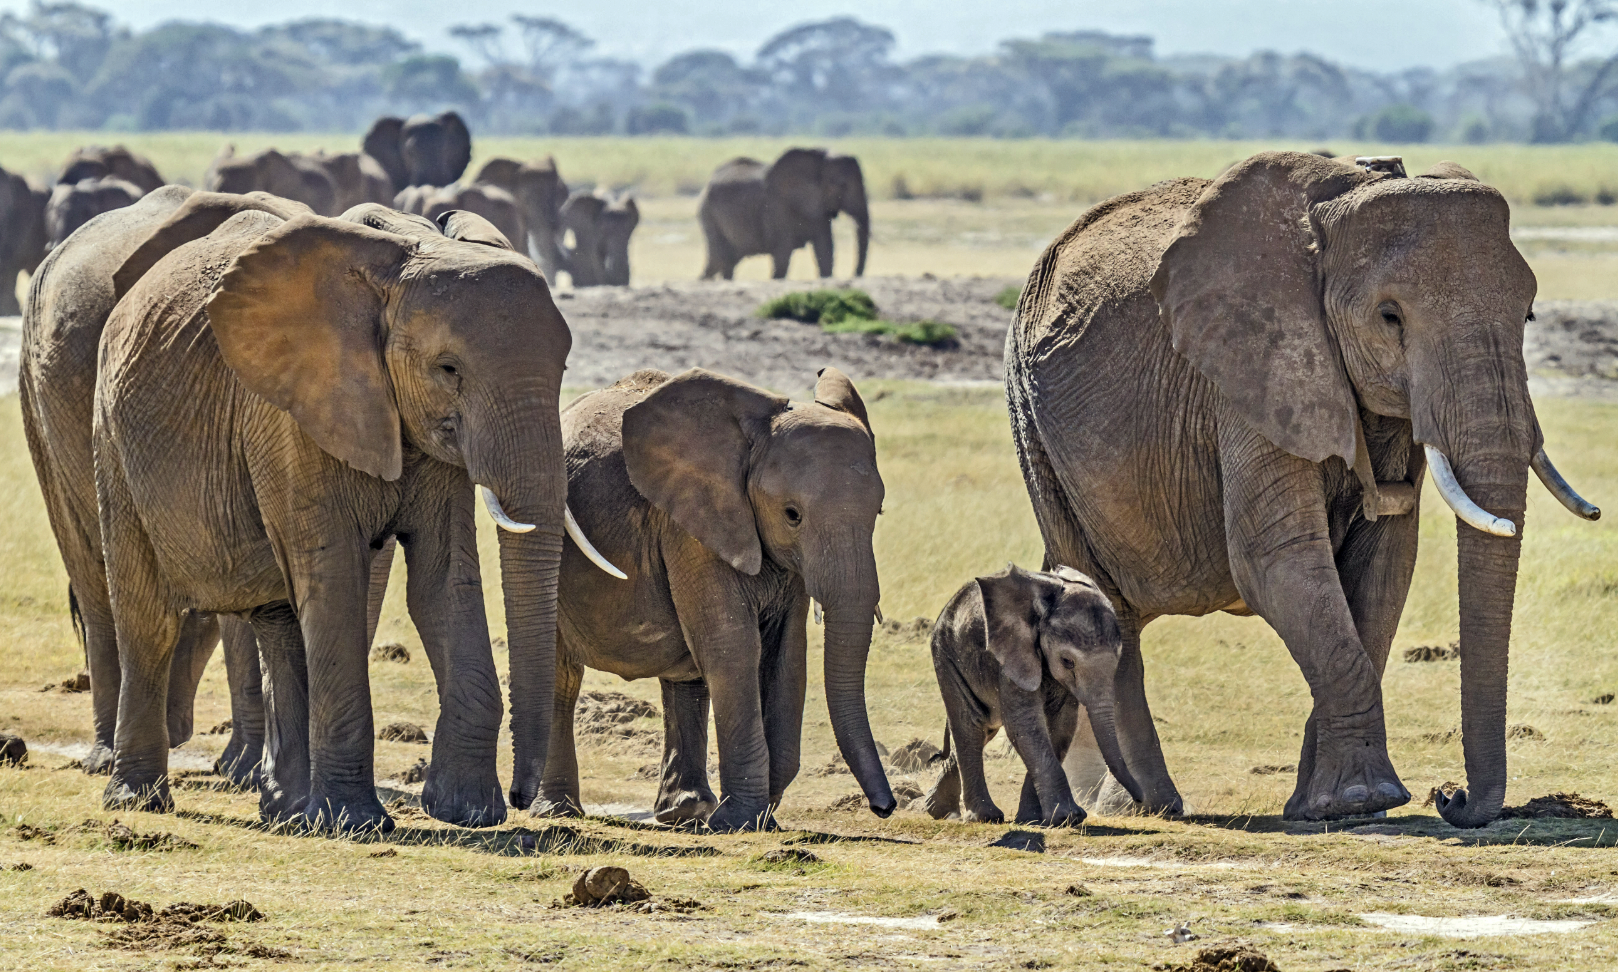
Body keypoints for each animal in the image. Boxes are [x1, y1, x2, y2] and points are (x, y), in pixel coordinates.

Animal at [87, 198, 617, 832]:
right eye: (448, 369)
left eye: (563, 369)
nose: (521, 797)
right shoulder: (291, 416)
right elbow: (336, 575)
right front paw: (356, 823)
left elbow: (444, 583)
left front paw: (467, 812)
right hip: (112, 439)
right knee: (148, 616)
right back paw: (138, 799)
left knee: (281, 620)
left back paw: (286, 811)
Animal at [541, 367, 895, 831]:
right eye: (792, 515)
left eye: (879, 512)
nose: (884, 808)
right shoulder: (691, 525)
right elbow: (732, 647)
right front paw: (739, 820)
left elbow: (786, 654)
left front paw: (757, 815)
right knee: (563, 673)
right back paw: (559, 809)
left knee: (685, 673)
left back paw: (685, 812)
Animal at [698, 148, 869, 280]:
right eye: (842, 185)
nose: (855, 275)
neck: (818, 160)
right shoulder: (777, 207)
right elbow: (783, 255)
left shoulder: (818, 208)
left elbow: (825, 251)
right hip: (709, 214)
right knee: (719, 260)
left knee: (726, 262)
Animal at [921, 565, 1144, 826]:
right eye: (1067, 662)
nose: (1140, 799)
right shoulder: (1011, 655)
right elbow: (1024, 724)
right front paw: (1069, 817)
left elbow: (1061, 726)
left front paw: (1034, 820)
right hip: (946, 655)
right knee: (971, 726)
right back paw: (984, 816)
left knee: (984, 729)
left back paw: (939, 810)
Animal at [1005, 151, 1599, 827]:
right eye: (1390, 317)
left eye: (1528, 314)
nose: (1452, 797)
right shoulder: (1250, 370)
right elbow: (1278, 562)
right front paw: (1364, 800)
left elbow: (1383, 566)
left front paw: (1326, 808)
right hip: (1033, 424)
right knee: (1106, 605)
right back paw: (1154, 807)